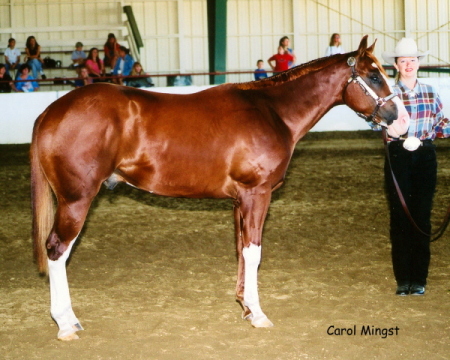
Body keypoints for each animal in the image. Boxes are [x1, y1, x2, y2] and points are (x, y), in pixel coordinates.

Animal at [29, 36, 410, 340]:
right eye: (374, 75)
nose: (402, 121)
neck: (272, 111)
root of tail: (51, 111)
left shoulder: (240, 200)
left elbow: (242, 250)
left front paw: (245, 307)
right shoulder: (257, 194)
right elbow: (254, 252)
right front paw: (258, 314)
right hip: (76, 200)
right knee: (57, 250)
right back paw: (66, 324)